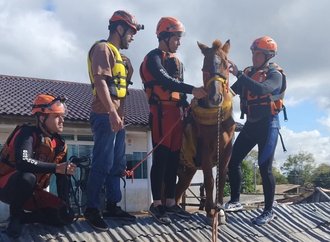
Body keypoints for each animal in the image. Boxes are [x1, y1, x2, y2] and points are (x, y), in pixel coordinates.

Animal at [177, 40, 236, 225]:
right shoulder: (205, 151)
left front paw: (220, 210)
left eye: (226, 64)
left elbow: (221, 178)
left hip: (188, 171)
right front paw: (211, 212)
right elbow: (209, 180)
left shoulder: (226, 150)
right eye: (204, 66)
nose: (215, 98)